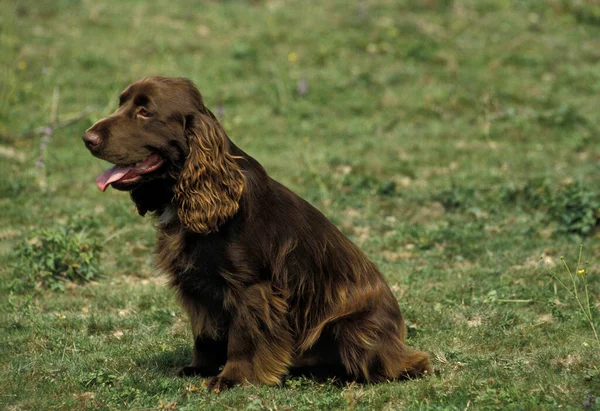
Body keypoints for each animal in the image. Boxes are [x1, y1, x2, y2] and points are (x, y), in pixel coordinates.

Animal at [83, 76, 432, 392]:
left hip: (350, 328)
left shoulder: (251, 287)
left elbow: (244, 337)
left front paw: (232, 378)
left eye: (145, 112)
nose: (87, 137)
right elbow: (205, 333)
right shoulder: (198, 284)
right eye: (121, 103)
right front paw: (199, 368)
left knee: (408, 364)